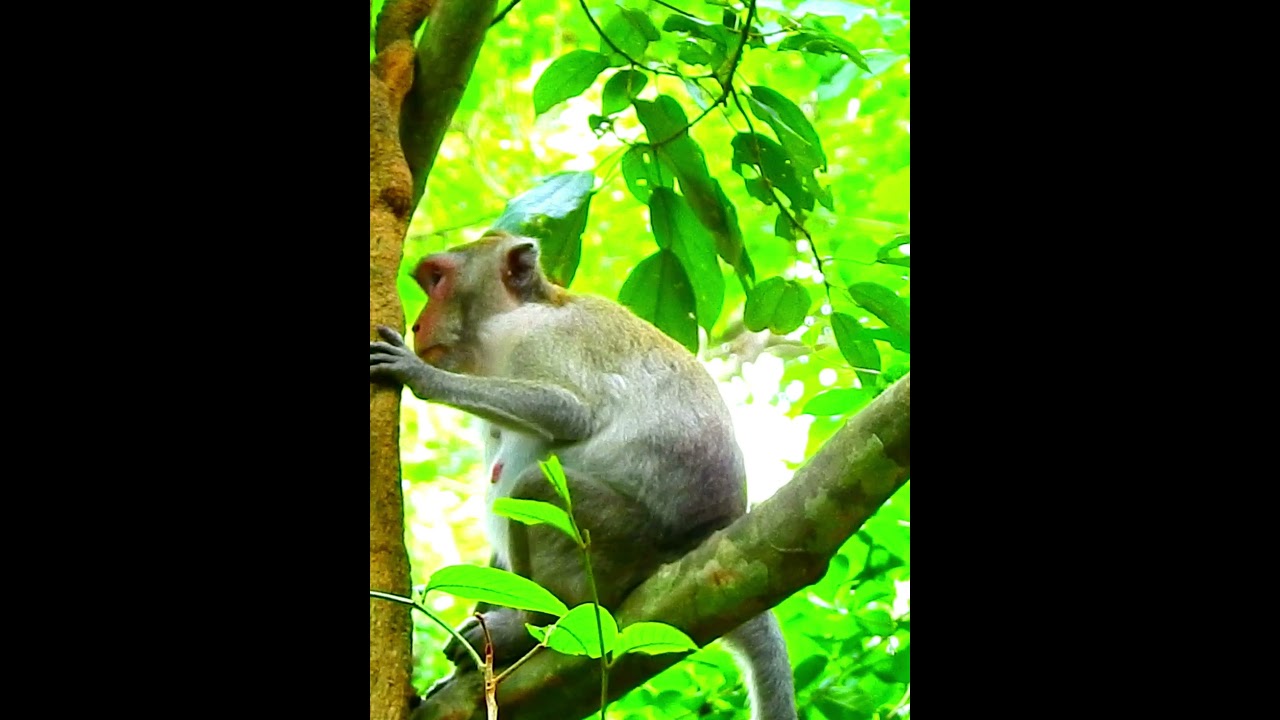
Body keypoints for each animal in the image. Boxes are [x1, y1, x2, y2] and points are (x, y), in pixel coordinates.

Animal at [369, 230, 797, 720]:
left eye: (437, 280)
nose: (419, 326)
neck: (509, 322)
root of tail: (703, 538)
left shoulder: (544, 340)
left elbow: (569, 412)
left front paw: (419, 374)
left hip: (623, 545)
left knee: (533, 486)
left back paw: (533, 626)